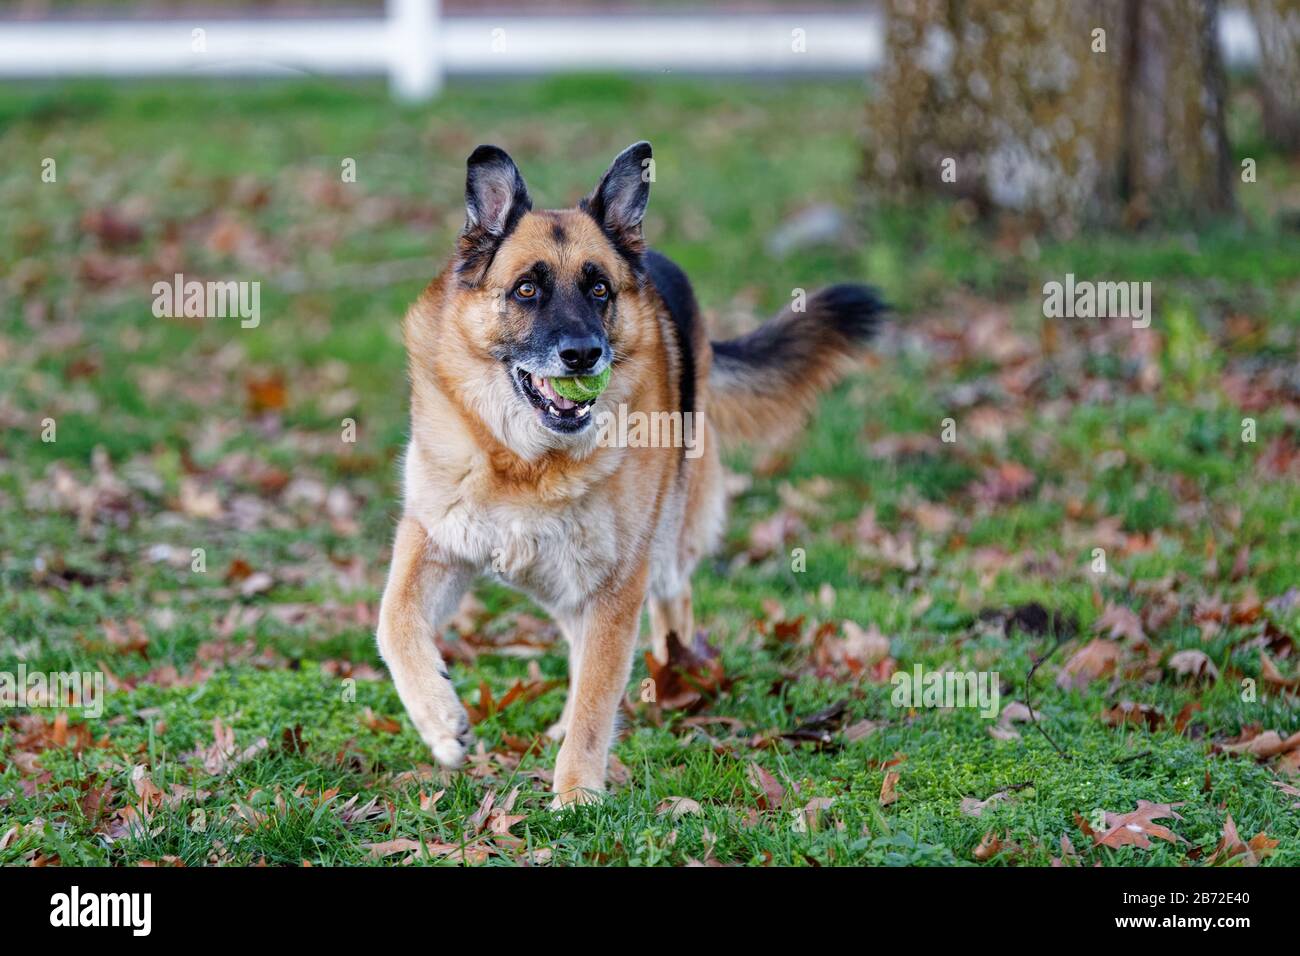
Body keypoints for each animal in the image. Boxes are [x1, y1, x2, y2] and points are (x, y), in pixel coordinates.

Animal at [377, 140, 883, 801]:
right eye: (525, 290)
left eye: (598, 289)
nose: (582, 355)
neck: (526, 462)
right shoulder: (436, 537)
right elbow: (393, 622)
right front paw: (440, 723)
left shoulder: (618, 583)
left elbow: (598, 698)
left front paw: (576, 796)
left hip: (659, 548)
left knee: (670, 609)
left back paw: (675, 683)